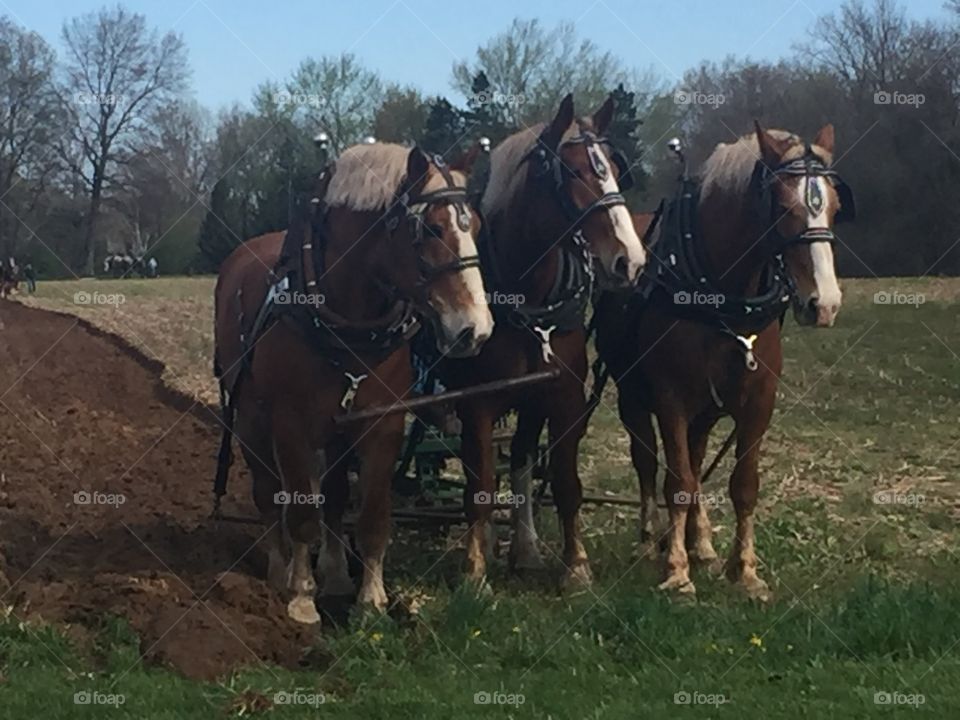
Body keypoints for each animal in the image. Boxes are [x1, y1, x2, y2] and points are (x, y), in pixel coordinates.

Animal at [214, 142, 493, 623]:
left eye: (473, 224)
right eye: (433, 228)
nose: (474, 329)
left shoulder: (382, 424)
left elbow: (372, 515)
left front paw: (370, 600)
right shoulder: (290, 425)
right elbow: (300, 510)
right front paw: (301, 596)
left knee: (336, 496)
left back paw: (336, 574)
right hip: (250, 420)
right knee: (268, 494)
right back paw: (279, 572)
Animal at [439, 93, 647, 590]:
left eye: (614, 166)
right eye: (572, 170)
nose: (630, 261)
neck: (527, 299)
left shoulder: (562, 396)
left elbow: (563, 479)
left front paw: (576, 564)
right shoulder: (478, 404)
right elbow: (479, 485)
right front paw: (474, 569)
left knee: (518, 458)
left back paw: (524, 547)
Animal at [594, 122, 854, 600]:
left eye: (834, 205)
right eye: (783, 208)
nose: (824, 304)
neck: (720, 295)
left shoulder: (759, 402)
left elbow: (742, 484)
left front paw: (743, 570)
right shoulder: (671, 398)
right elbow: (676, 481)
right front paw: (676, 571)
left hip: (705, 411)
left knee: (696, 463)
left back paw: (700, 544)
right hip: (633, 397)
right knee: (648, 461)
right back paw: (650, 541)